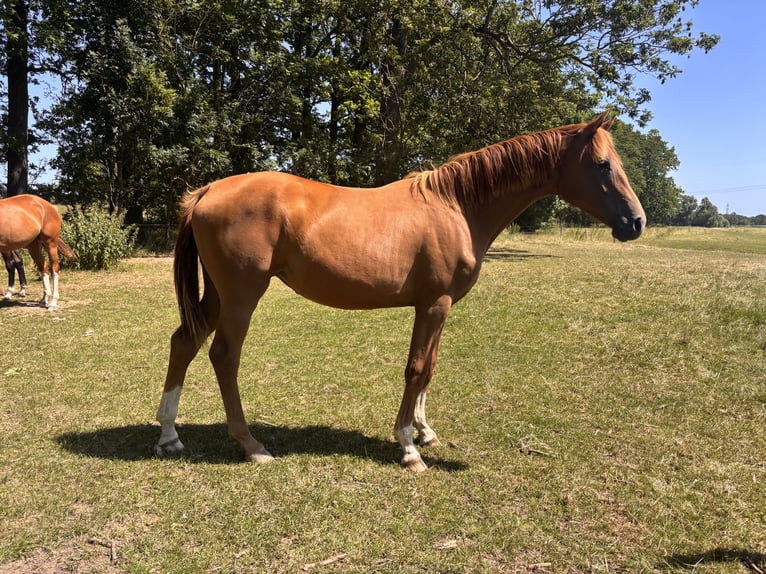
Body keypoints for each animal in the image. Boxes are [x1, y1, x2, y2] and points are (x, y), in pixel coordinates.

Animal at [154, 113, 646, 472]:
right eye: (603, 164)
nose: (636, 222)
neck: (457, 206)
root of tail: (207, 191)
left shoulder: (437, 307)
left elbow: (430, 368)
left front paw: (425, 431)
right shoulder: (434, 304)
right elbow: (416, 368)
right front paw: (409, 447)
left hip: (218, 295)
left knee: (184, 342)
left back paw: (169, 435)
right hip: (241, 295)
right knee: (223, 356)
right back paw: (251, 444)